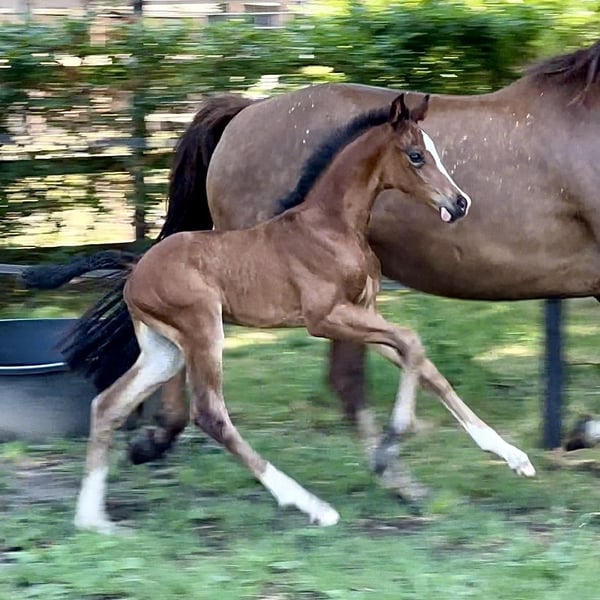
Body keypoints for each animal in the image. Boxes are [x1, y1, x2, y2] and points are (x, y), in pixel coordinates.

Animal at [54, 94, 538, 532]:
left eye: (435, 151)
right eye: (416, 156)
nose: (460, 203)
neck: (331, 225)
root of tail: (135, 270)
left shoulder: (363, 312)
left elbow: (425, 365)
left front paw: (513, 457)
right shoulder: (325, 318)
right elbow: (412, 341)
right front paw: (391, 442)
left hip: (163, 350)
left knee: (107, 405)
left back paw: (93, 520)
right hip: (203, 331)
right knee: (210, 414)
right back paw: (312, 507)